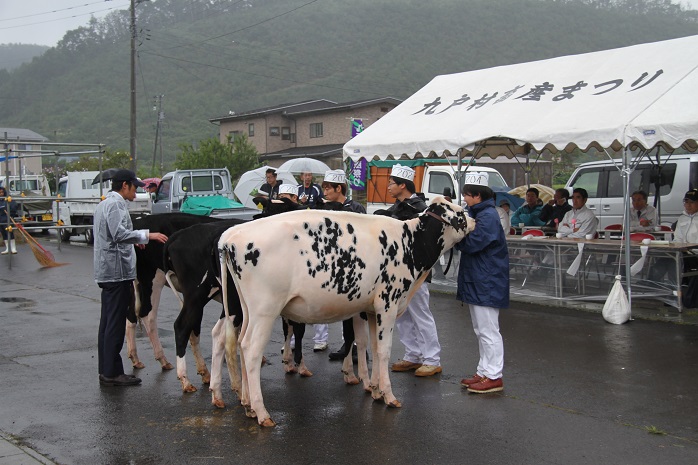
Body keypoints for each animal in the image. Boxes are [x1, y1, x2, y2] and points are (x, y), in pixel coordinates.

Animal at [212, 196, 474, 424]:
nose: (473, 220)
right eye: (459, 213)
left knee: (238, 342)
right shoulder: (388, 303)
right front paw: (389, 396)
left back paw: (246, 404)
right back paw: (261, 412)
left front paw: (375, 390)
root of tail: (232, 235)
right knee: (250, 349)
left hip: (246, 310)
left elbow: (372, 346)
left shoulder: (370, 309)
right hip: (265, 310)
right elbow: (384, 351)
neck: (409, 243)